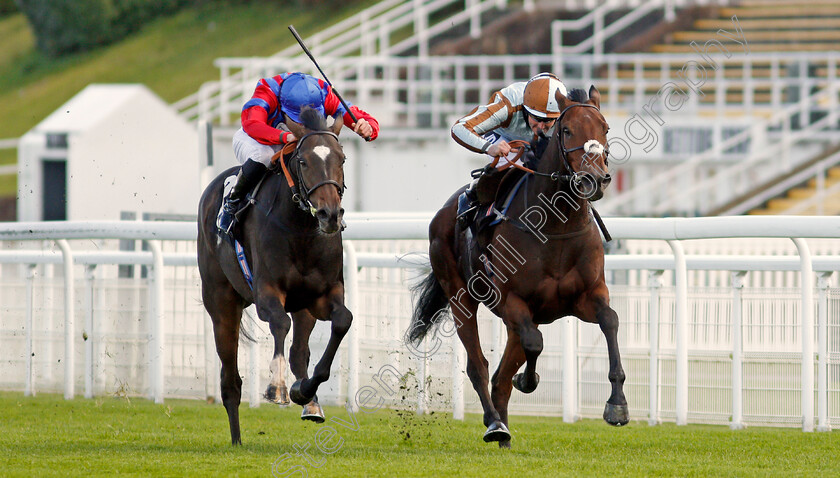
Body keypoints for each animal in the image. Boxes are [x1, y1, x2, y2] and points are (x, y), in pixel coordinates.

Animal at [197, 108, 352, 444]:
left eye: (342, 158)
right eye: (303, 161)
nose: (330, 215)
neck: (301, 230)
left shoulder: (322, 295)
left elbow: (342, 322)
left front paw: (304, 391)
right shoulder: (266, 291)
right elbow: (280, 323)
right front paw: (276, 387)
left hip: (302, 304)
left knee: (298, 352)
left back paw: (310, 401)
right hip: (220, 303)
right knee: (230, 378)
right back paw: (236, 439)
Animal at [406, 86, 624, 448]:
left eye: (605, 128)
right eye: (567, 131)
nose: (593, 180)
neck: (557, 226)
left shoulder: (586, 296)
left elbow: (610, 320)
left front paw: (617, 404)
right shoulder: (514, 302)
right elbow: (535, 342)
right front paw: (528, 381)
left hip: (510, 322)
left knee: (499, 378)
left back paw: (504, 433)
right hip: (461, 298)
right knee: (479, 367)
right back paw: (495, 425)